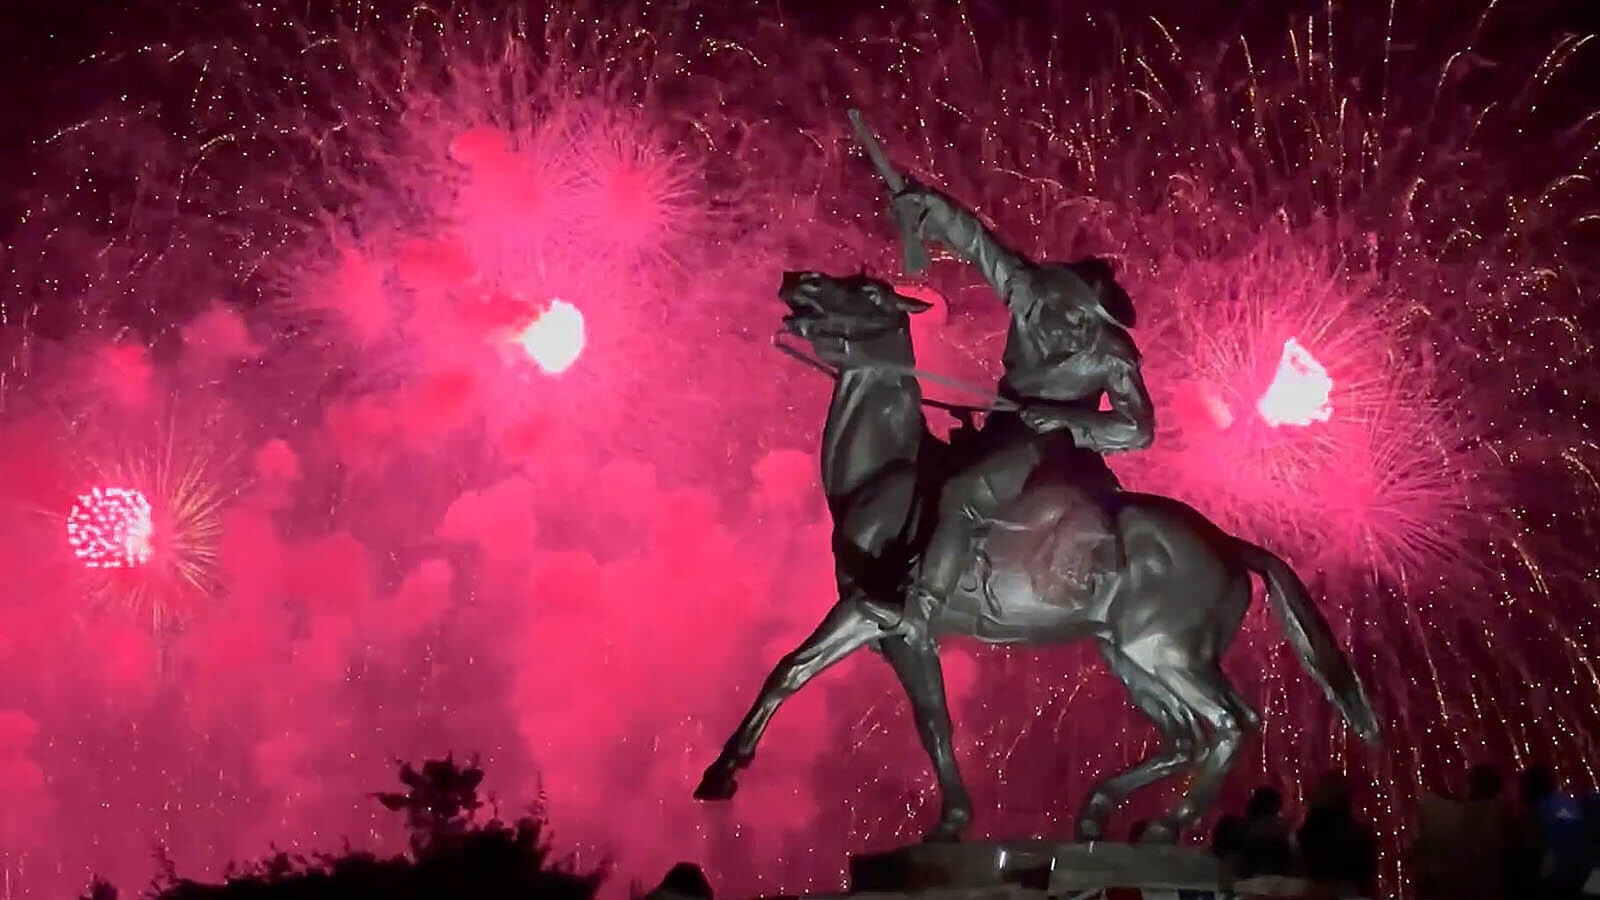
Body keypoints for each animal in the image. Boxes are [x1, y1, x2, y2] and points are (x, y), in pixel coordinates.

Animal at [694, 272, 1382, 839]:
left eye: (865, 292)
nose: (798, 279)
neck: (885, 475)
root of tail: (1230, 543)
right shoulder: (881, 629)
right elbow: (819, 682)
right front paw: (723, 772)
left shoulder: (882, 616)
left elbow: (891, 705)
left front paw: (951, 821)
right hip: (1126, 655)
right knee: (1183, 735)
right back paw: (1100, 813)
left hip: (1168, 652)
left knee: (1233, 724)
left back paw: (1166, 825)